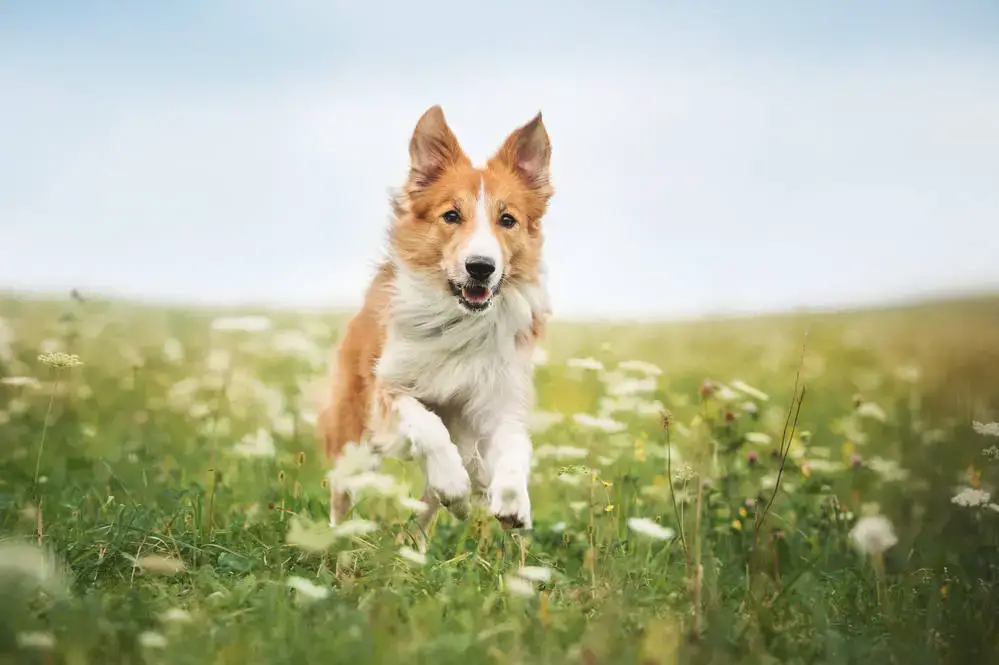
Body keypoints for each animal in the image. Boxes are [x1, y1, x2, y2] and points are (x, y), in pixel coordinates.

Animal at [318, 102, 556, 540]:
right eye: (451, 215)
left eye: (508, 220)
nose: (481, 267)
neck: (460, 321)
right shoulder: (389, 388)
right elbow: (428, 425)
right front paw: (454, 481)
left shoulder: (497, 399)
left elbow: (516, 446)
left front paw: (512, 500)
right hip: (353, 435)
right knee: (343, 493)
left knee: (427, 511)